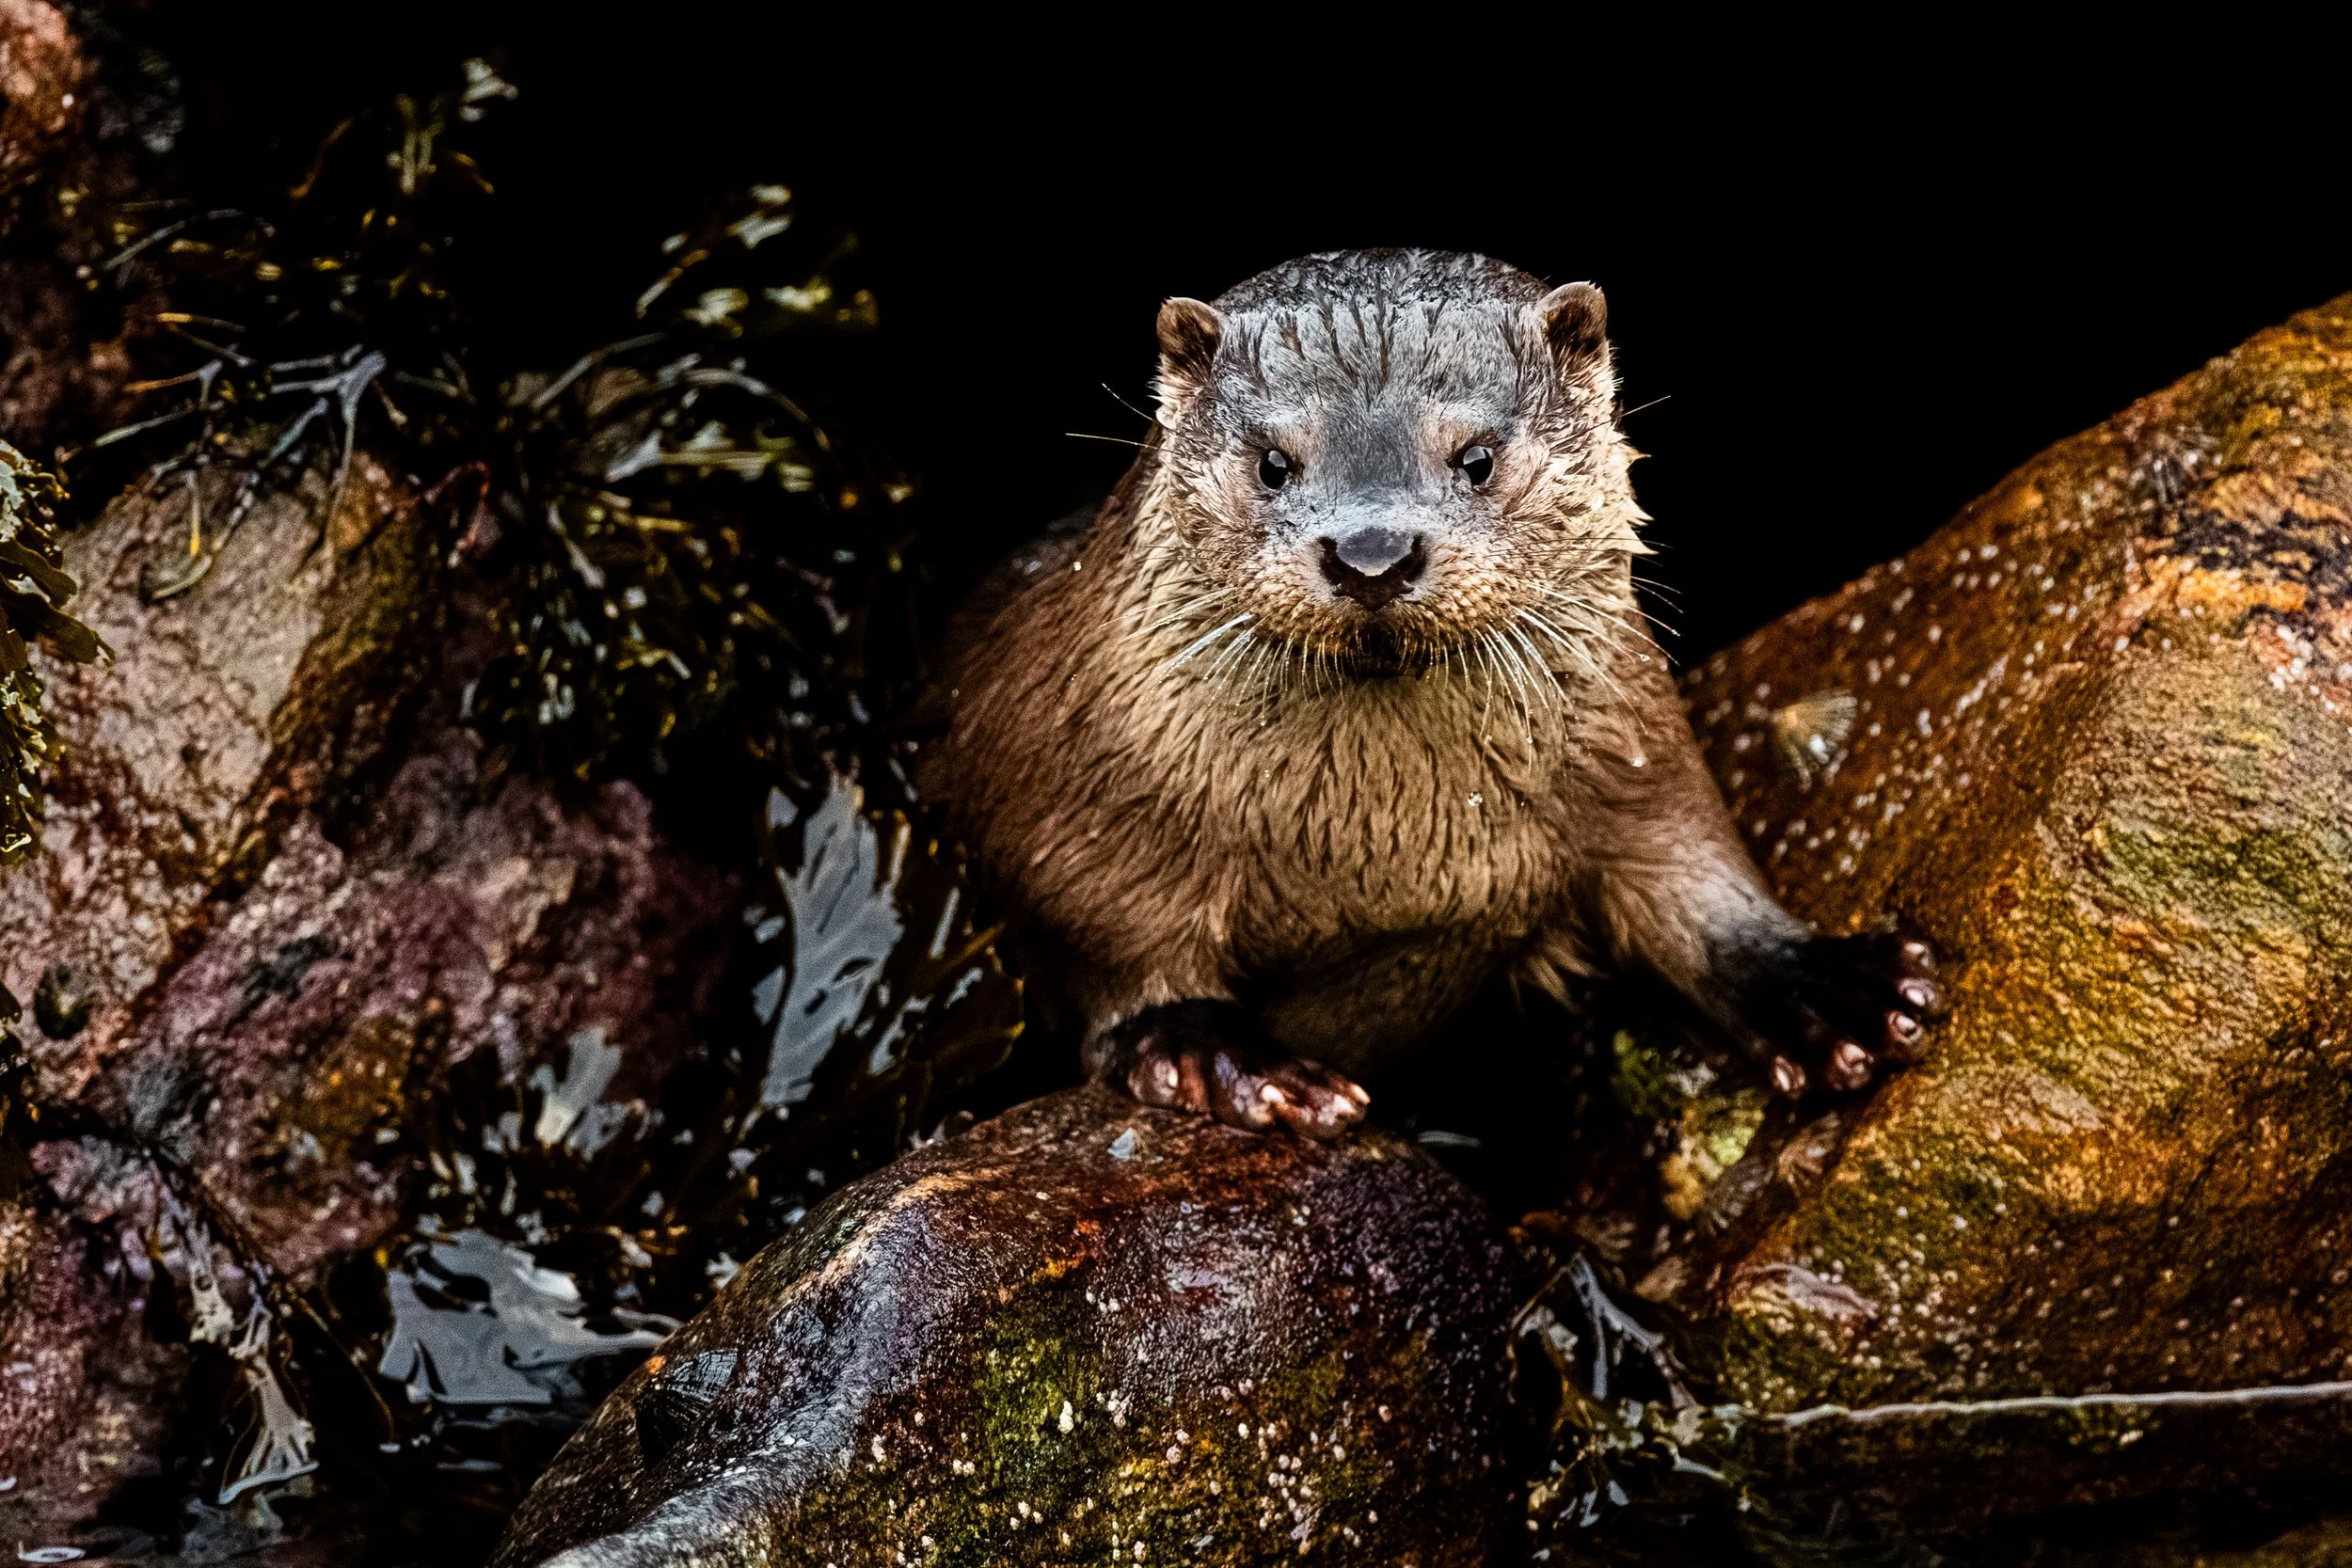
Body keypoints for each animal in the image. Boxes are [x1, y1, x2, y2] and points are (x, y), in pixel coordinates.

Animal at [918, 249, 1939, 1138]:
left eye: (1476, 457)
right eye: (1273, 462)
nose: (1372, 551)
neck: (1381, 861)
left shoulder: (1633, 742)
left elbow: (1690, 867)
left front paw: (1825, 990)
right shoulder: (1069, 807)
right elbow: (1112, 943)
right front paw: (1213, 1056)